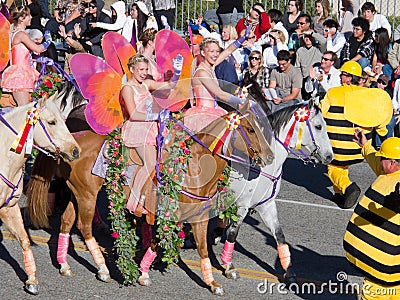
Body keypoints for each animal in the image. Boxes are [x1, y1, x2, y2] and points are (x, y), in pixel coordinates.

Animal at [25, 101, 276, 292]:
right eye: (250, 130)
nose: (270, 156)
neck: (193, 166)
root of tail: (72, 142)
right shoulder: (170, 215)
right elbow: (159, 241)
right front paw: (144, 273)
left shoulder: (198, 218)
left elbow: (202, 248)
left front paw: (212, 282)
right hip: (87, 195)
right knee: (84, 227)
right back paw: (103, 269)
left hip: (75, 193)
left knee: (66, 223)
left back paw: (64, 265)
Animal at [220, 100, 332, 284]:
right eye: (318, 126)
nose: (330, 156)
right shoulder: (241, 206)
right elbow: (232, 233)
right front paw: (229, 267)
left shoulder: (267, 206)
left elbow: (279, 236)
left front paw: (289, 272)